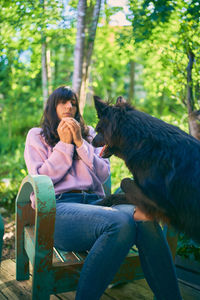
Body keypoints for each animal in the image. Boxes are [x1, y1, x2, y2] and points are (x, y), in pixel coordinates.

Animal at [92, 96, 200, 244]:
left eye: (98, 129)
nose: (91, 141)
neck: (139, 140)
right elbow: (119, 195)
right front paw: (102, 203)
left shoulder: (161, 204)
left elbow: (125, 182)